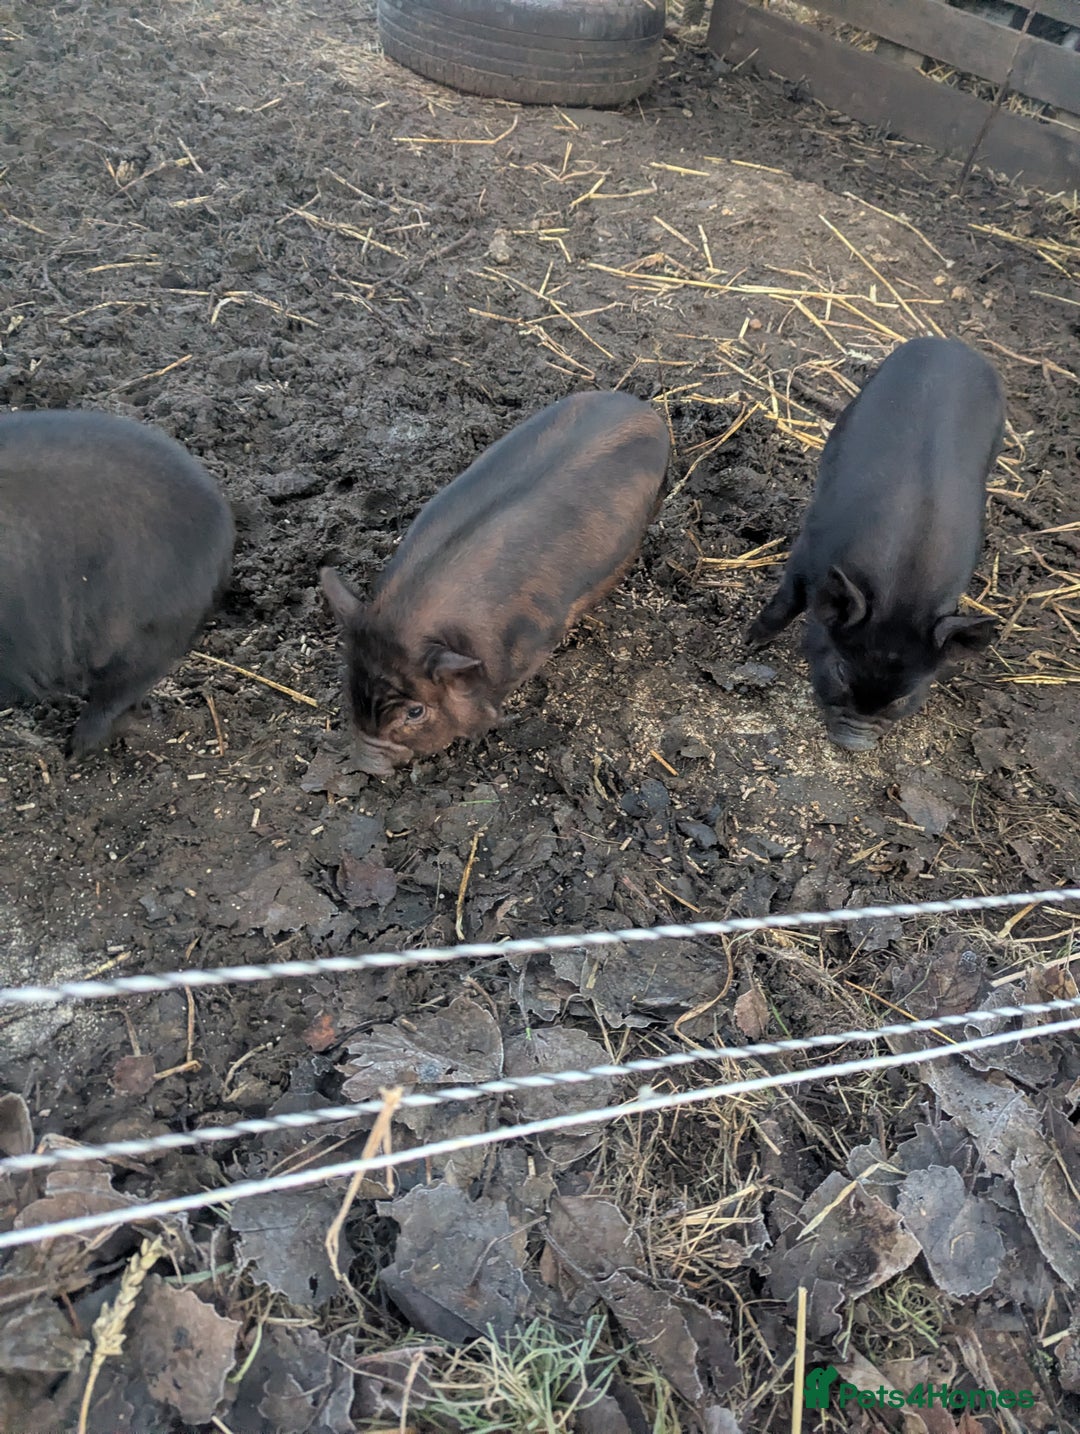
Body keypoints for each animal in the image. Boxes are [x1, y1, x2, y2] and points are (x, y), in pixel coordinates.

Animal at [746, 337, 1004, 751]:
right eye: (840, 671)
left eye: (904, 696)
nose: (855, 743)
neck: (903, 592)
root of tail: (949, 343)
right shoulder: (809, 550)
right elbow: (786, 602)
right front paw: (750, 643)